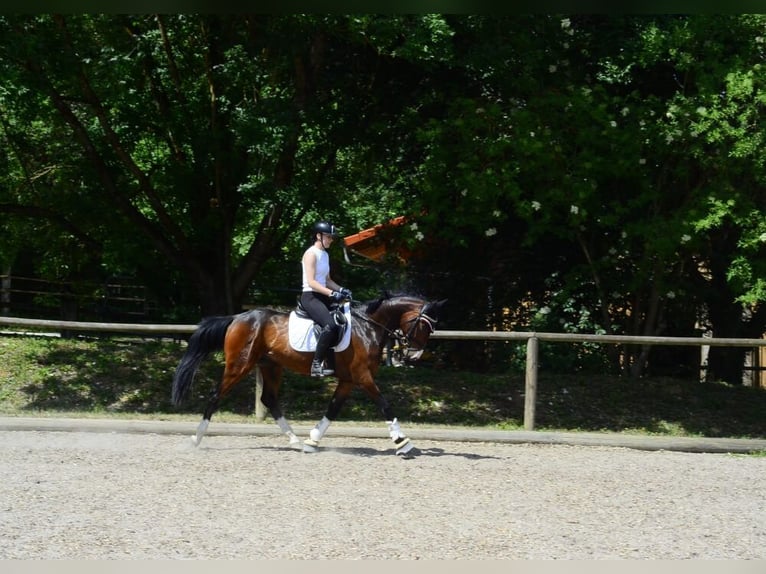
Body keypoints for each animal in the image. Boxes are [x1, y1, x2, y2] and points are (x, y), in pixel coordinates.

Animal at [171, 292, 447, 456]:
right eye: (423, 325)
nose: (414, 356)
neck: (367, 326)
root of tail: (238, 317)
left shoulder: (348, 380)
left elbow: (333, 409)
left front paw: (312, 441)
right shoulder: (362, 377)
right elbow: (385, 405)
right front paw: (403, 442)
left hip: (271, 366)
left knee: (268, 399)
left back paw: (294, 439)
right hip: (239, 366)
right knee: (215, 395)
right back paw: (196, 439)